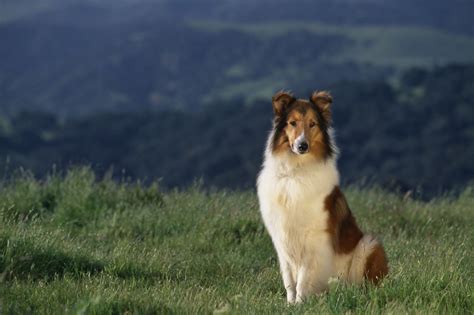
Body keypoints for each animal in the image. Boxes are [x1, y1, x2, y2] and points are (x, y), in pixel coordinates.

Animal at [258, 90, 386, 304]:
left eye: (312, 124)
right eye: (292, 123)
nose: (302, 146)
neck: (296, 171)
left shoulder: (313, 239)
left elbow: (303, 278)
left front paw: (300, 303)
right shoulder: (282, 239)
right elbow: (289, 279)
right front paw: (290, 304)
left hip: (368, 244)